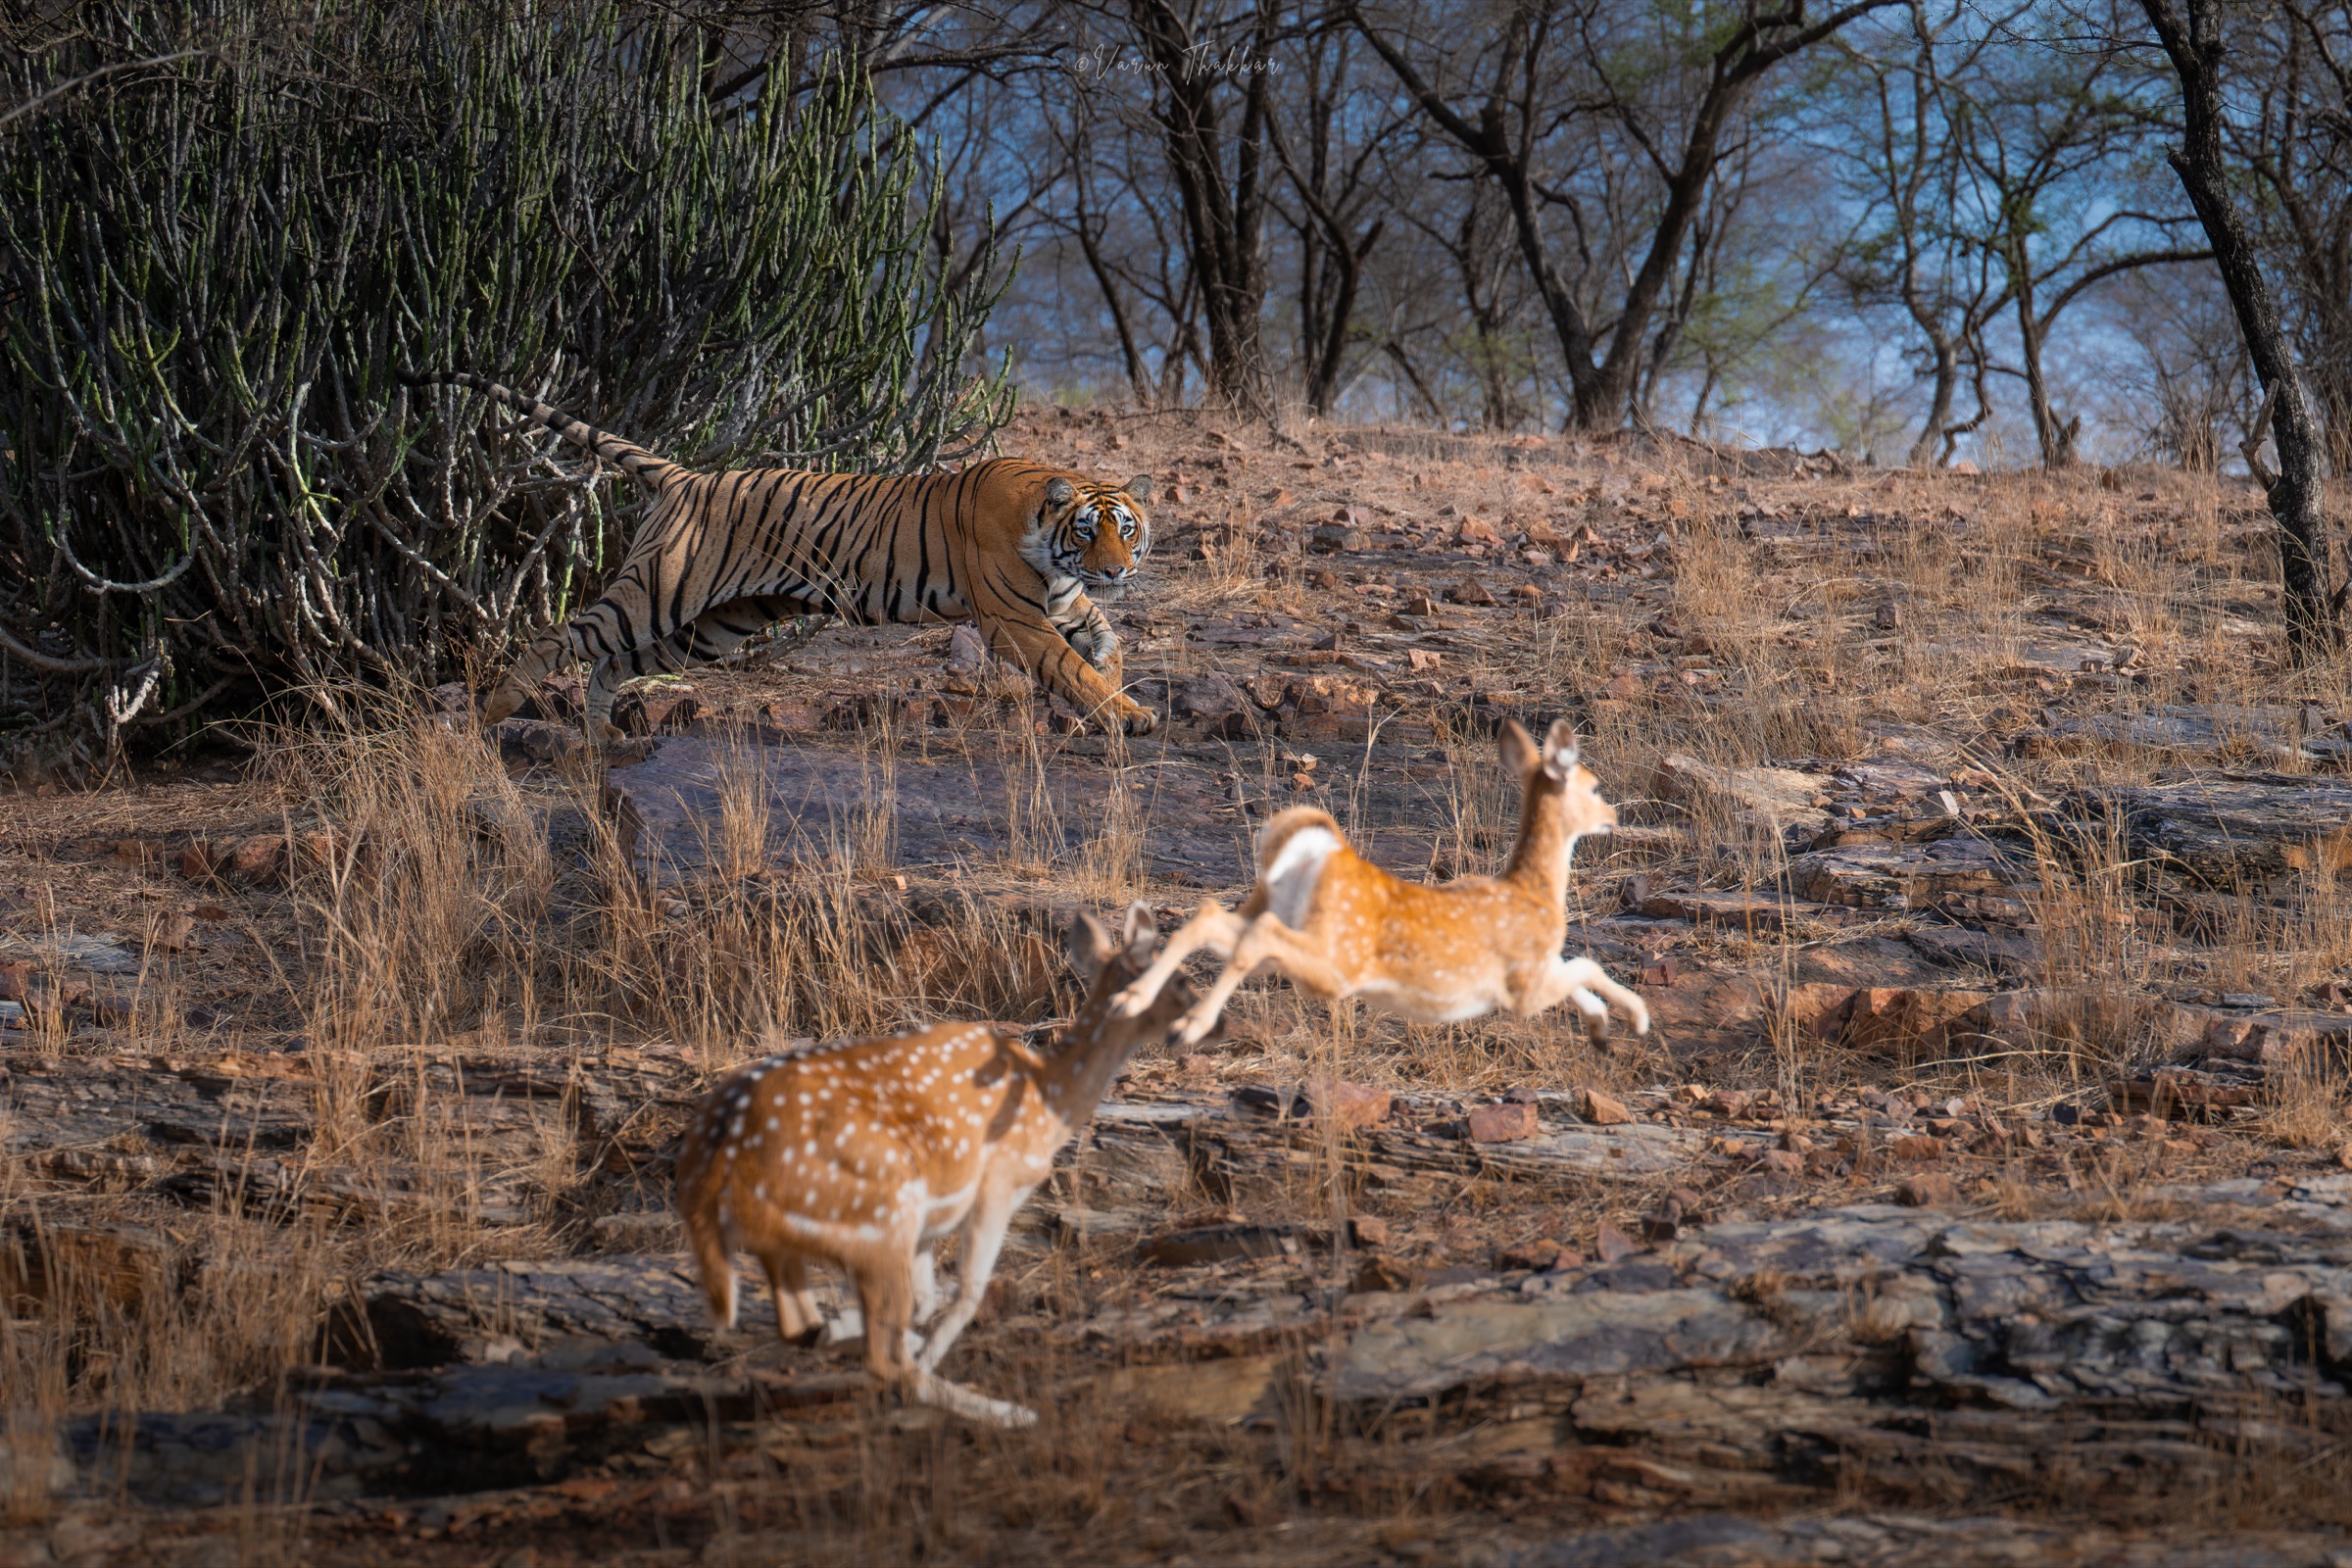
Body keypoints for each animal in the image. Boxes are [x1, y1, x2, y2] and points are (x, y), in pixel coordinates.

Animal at [399, 371, 1160, 739]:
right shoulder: (1015, 621)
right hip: (654, 597)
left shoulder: (1063, 602)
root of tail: (687, 477)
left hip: (712, 626)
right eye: (1088, 531)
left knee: (612, 666)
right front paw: (1127, 714)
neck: (1050, 544)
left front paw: (1114, 678)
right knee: (560, 638)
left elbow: (1107, 640)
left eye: (1127, 529)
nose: (1118, 570)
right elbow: (1070, 669)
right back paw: (496, 714)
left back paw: (603, 739)